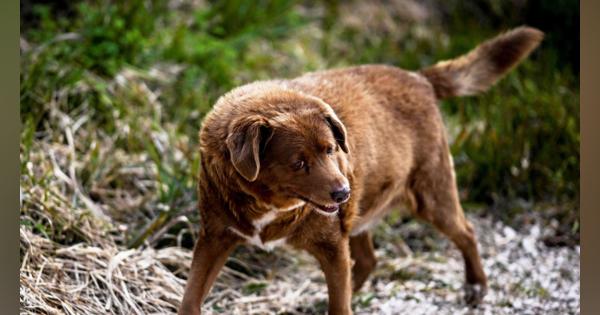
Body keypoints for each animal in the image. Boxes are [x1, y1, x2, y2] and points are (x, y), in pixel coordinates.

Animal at [178, 25, 544, 314]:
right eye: (298, 163)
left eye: (331, 149)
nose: (343, 192)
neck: (268, 205)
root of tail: (419, 78)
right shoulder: (214, 237)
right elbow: (191, 296)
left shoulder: (331, 246)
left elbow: (339, 303)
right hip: (362, 211)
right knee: (368, 260)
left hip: (430, 195)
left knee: (465, 232)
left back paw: (476, 286)